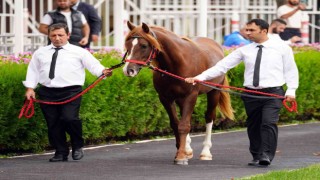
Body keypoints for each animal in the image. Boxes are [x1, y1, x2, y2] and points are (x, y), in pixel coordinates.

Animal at [122, 21, 232, 165]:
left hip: (214, 92)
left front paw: (180, 156)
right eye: (127, 45)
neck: (177, 64)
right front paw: (182, 151)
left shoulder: (191, 96)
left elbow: (184, 125)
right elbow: (175, 124)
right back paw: (188, 148)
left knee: (209, 117)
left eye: (144, 45)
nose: (128, 70)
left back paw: (205, 152)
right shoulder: (165, 98)